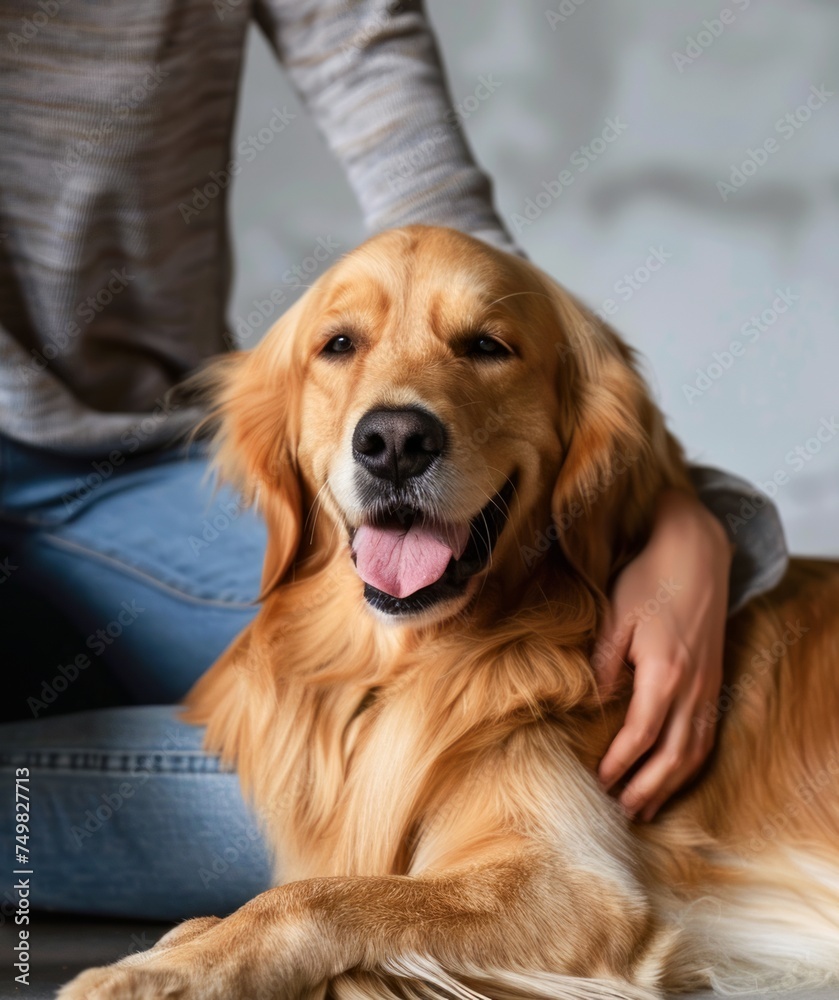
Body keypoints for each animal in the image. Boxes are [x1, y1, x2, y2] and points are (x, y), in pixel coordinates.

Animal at [62, 227, 839, 1000]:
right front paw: (175, 946)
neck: (408, 666)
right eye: (339, 344)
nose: (394, 443)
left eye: (488, 346)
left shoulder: (580, 885)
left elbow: (317, 897)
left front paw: (156, 972)